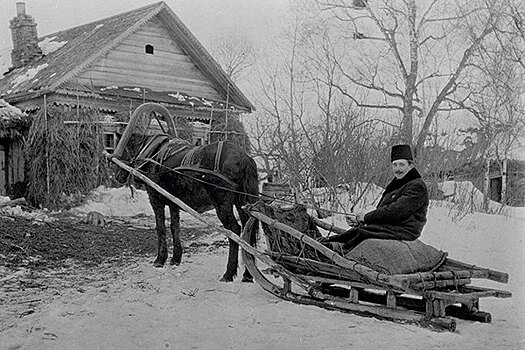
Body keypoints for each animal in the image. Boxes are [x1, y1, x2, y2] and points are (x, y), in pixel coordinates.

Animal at [114, 104, 260, 282]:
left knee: (234, 230)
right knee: (247, 232)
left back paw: (228, 273)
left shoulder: (156, 199)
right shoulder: (174, 202)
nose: (117, 176)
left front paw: (160, 259)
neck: (151, 153)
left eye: (123, 148)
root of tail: (244, 157)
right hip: (243, 203)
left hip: (222, 203)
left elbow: (160, 228)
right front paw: (175, 258)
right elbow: (174, 228)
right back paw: (247, 275)